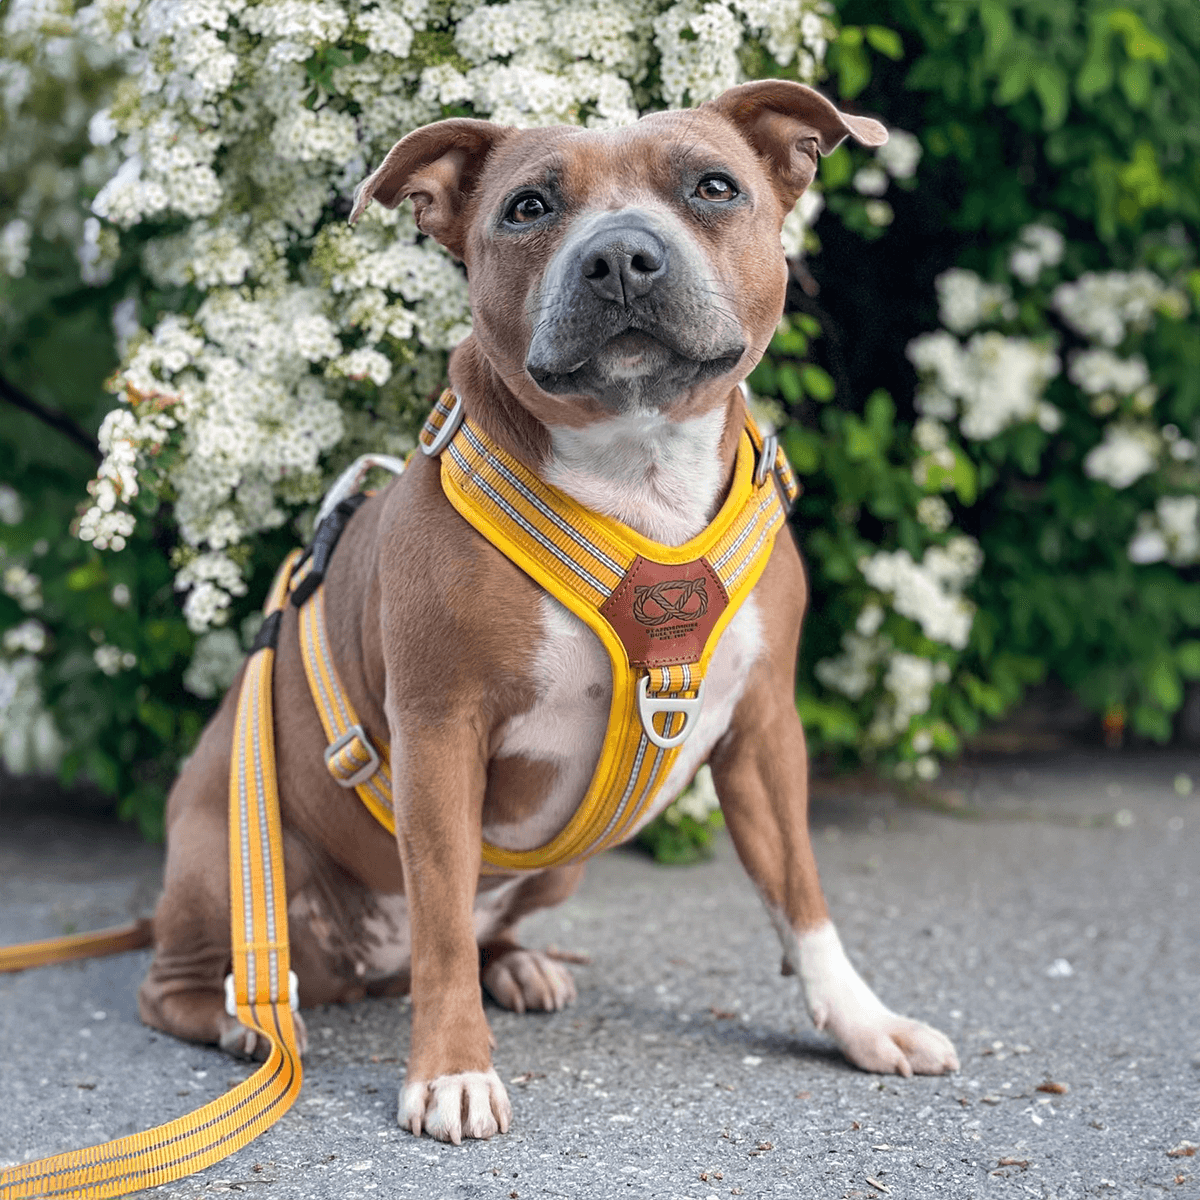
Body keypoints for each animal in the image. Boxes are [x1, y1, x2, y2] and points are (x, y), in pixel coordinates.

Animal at [140, 79, 960, 1147]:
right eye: (527, 208)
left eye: (714, 186)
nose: (619, 256)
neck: (639, 473)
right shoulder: (439, 732)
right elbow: (442, 916)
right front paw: (451, 1072)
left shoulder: (763, 732)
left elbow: (802, 898)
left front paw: (865, 1024)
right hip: (228, 851)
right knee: (191, 982)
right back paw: (247, 1019)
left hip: (559, 868)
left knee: (481, 930)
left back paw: (521, 967)